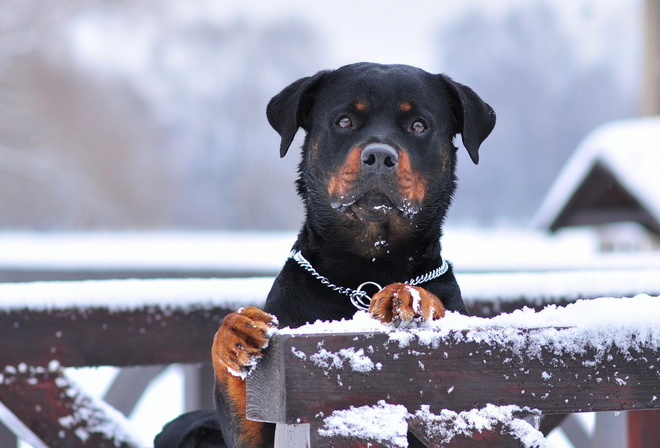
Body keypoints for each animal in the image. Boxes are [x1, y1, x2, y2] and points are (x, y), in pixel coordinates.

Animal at [156, 62, 496, 448]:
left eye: (419, 125)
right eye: (344, 121)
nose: (380, 156)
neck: (364, 270)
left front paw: (407, 296)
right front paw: (235, 333)